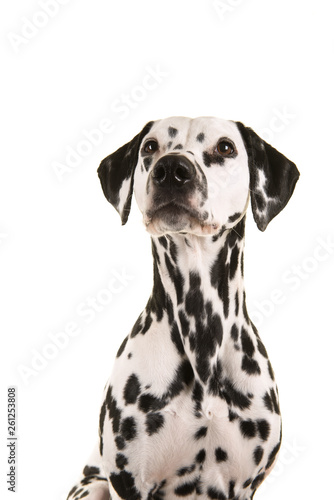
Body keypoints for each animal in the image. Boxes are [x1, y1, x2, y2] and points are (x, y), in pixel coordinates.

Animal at [68, 116, 300, 500]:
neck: (202, 330)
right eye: (150, 146)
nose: (172, 169)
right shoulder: (128, 481)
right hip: (93, 486)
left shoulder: (244, 486)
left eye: (225, 147)